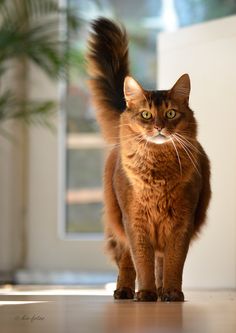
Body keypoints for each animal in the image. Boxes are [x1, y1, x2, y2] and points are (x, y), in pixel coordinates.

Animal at [85, 17, 211, 300]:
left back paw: (162, 289)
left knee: (160, 261)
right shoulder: (135, 221)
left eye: (171, 113)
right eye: (146, 115)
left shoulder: (182, 222)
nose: (159, 127)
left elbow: (173, 261)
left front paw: (172, 292)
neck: (157, 170)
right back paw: (125, 290)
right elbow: (141, 261)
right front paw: (145, 293)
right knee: (125, 260)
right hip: (117, 221)